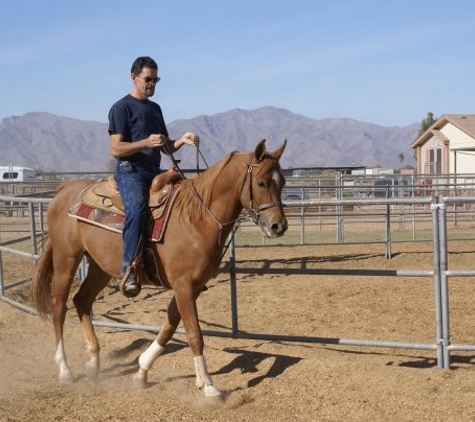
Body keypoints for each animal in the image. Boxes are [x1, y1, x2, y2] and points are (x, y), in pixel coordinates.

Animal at [32, 140, 290, 398]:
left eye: (283, 182)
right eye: (261, 182)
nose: (279, 226)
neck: (197, 218)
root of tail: (65, 189)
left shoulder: (194, 287)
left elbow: (169, 326)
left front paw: (141, 371)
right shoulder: (183, 285)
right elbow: (194, 334)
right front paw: (208, 386)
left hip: (99, 267)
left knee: (82, 300)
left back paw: (93, 363)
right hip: (66, 259)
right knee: (59, 308)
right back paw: (65, 369)